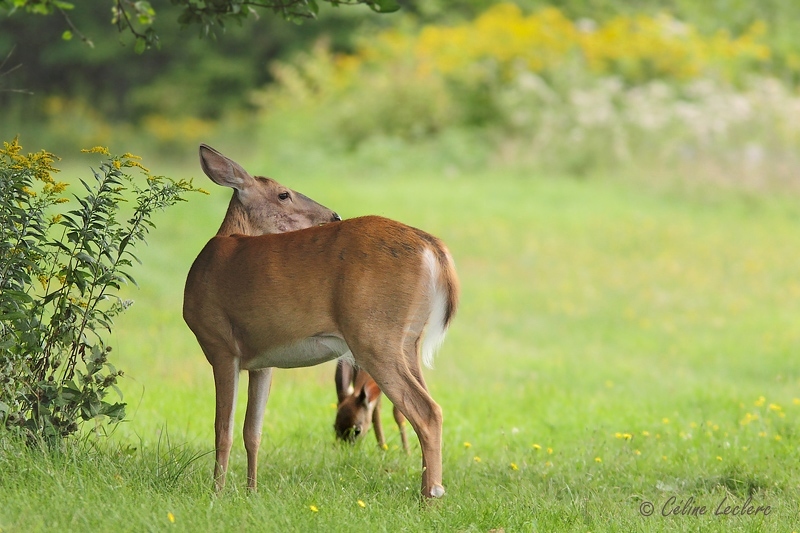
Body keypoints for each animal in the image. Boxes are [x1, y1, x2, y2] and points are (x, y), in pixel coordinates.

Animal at [182, 143, 456, 496]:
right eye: (284, 194)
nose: (333, 215)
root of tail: (432, 246)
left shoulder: (221, 346)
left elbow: (222, 429)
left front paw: (217, 493)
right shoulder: (261, 361)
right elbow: (252, 431)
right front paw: (251, 491)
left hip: (374, 335)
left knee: (427, 411)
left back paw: (429, 497)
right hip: (409, 341)